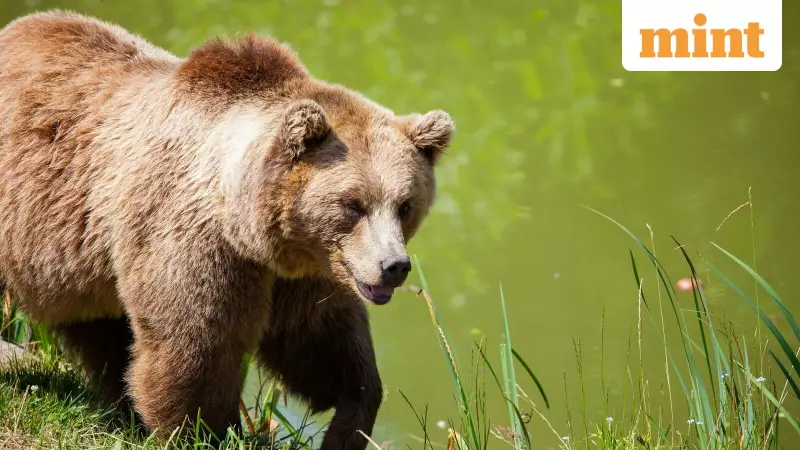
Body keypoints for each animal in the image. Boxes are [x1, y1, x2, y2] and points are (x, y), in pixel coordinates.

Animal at [0, 10, 454, 450]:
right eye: (353, 204)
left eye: (405, 205)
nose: (394, 266)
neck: (248, 225)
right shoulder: (193, 239)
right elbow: (197, 345)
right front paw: (207, 430)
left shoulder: (306, 270)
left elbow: (321, 342)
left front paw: (349, 420)